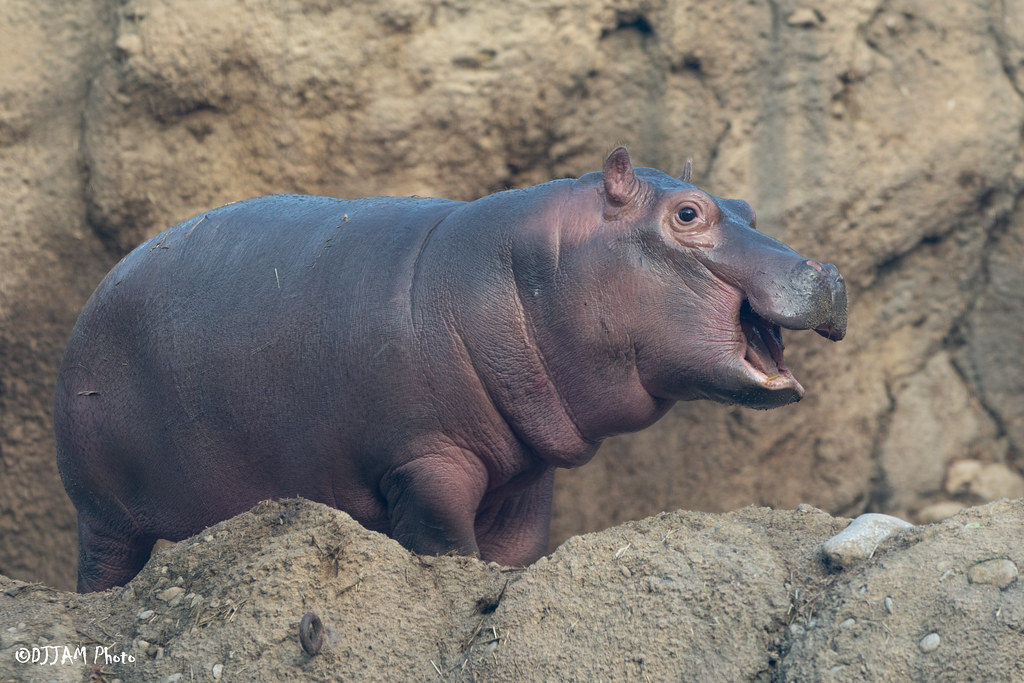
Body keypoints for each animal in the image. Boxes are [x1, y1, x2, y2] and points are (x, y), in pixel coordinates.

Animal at [55, 147, 846, 592]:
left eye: (744, 205)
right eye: (688, 213)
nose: (830, 273)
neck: (531, 270)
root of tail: (101, 283)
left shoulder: (526, 475)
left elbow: (515, 554)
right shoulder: (424, 461)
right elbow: (446, 545)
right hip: (102, 510)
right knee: (103, 568)